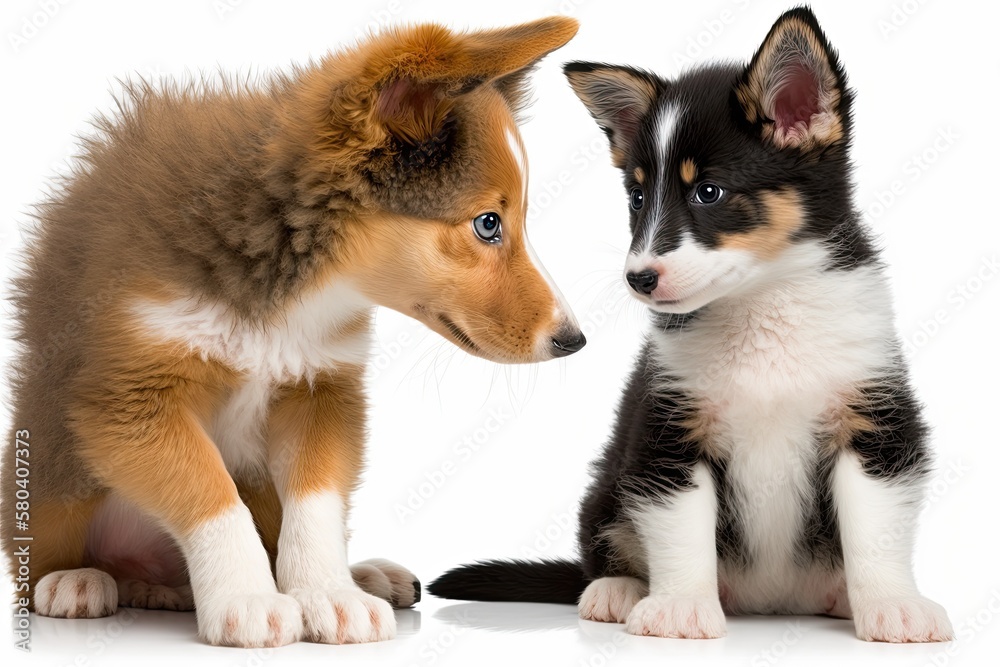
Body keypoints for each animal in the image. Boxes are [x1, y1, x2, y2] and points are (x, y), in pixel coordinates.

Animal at [432, 5, 952, 640]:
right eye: (636, 197)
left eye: (708, 191)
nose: (638, 278)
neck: (761, 305)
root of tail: (774, 601)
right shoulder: (667, 435)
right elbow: (681, 532)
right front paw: (680, 607)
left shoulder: (874, 423)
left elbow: (876, 527)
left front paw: (893, 606)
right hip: (607, 484)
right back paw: (618, 590)